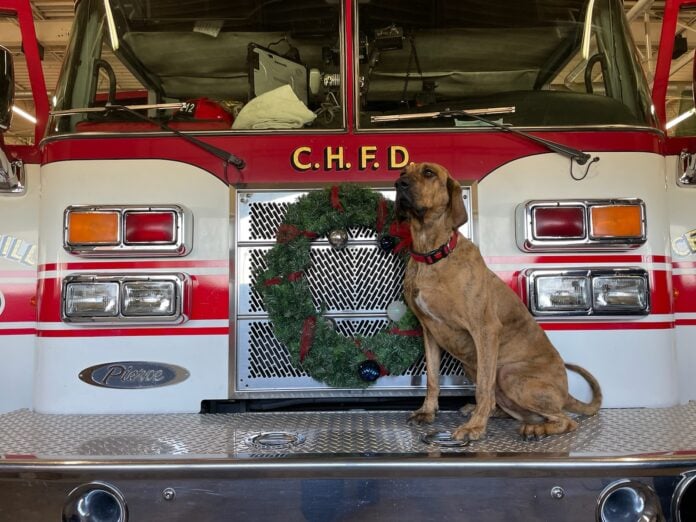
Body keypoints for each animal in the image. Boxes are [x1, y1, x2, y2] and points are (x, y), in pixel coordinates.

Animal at [394, 160, 600, 436]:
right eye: (403, 172)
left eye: (429, 173)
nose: (399, 184)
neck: (432, 254)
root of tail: (565, 393)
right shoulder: (429, 333)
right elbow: (433, 379)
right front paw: (428, 411)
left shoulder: (485, 329)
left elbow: (484, 387)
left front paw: (474, 428)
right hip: (473, 365)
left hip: (508, 373)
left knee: (566, 420)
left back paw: (535, 429)